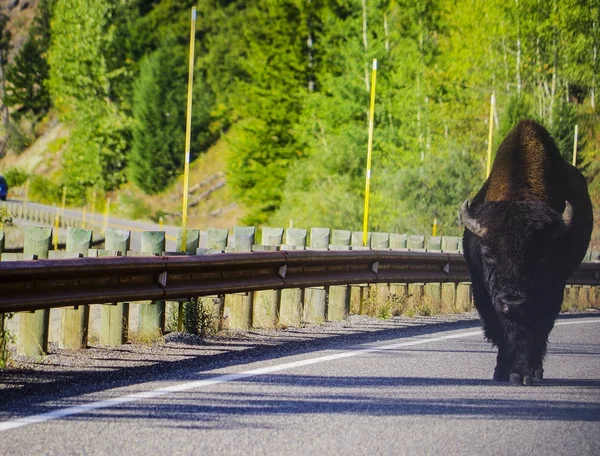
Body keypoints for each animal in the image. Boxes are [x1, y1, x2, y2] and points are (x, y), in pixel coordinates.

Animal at [462, 118, 592, 384]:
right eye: (488, 254)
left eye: (542, 255)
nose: (513, 301)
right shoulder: (484, 291)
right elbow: (503, 330)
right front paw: (502, 371)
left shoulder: (552, 290)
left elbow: (535, 331)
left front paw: (523, 373)